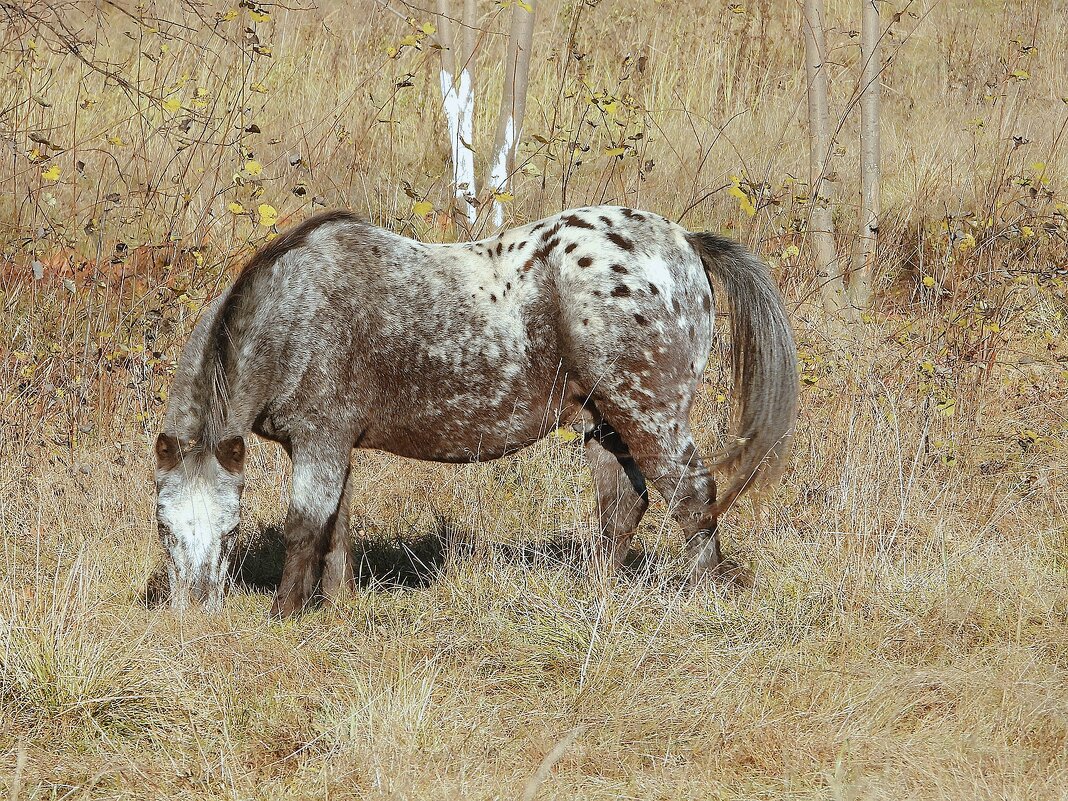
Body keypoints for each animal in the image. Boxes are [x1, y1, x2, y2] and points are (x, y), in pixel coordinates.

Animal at [154, 205, 798, 615]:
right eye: (164, 527)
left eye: (231, 529)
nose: (194, 615)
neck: (292, 311)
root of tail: (684, 241)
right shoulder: (331, 447)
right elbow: (335, 528)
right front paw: (335, 605)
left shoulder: (321, 441)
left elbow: (305, 527)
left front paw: (287, 614)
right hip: (606, 422)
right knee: (622, 506)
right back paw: (597, 592)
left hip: (648, 416)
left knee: (691, 493)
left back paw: (705, 591)